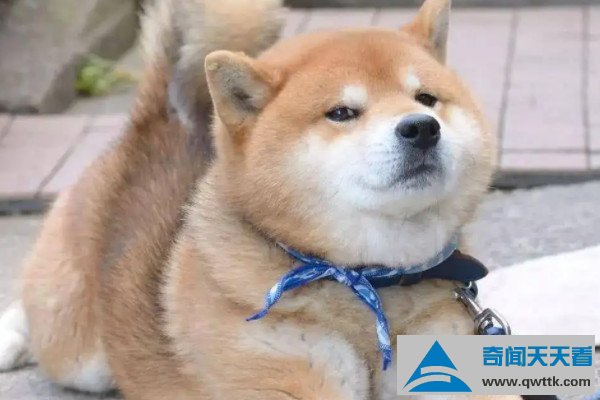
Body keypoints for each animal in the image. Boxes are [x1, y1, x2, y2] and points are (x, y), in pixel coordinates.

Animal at [0, 0, 514, 398]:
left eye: (426, 98)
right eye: (341, 113)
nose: (422, 128)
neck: (367, 281)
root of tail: (157, 124)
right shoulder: (282, 372)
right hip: (80, 355)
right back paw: (11, 339)